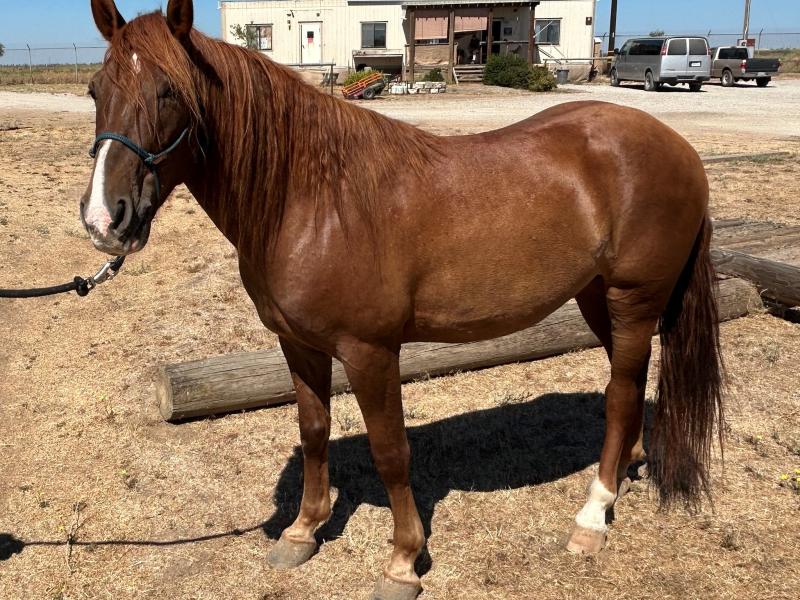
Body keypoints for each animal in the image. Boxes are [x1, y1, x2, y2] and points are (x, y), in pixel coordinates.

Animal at [81, 1, 724, 598]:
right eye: (95, 90)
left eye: (168, 92)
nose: (104, 220)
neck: (314, 201)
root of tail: (679, 148)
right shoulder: (298, 344)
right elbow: (313, 431)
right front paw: (303, 531)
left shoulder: (370, 352)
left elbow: (391, 452)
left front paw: (403, 561)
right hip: (596, 298)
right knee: (628, 385)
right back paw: (624, 471)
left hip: (633, 300)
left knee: (620, 395)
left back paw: (591, 516)